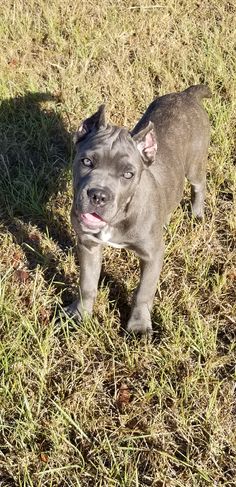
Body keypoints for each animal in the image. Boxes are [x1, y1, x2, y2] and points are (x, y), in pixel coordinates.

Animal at [67, 85, 211, 336]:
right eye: (86, 162)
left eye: (128, 174)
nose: (98, 196)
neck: (120, 216)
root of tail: (186, 94)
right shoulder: (89, 245)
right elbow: (87, 284)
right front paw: (80, 314)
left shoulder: (152, 256)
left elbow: (143, 292)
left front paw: (138, 326)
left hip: (195, 165)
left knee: (199, 185)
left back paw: (197, 214)